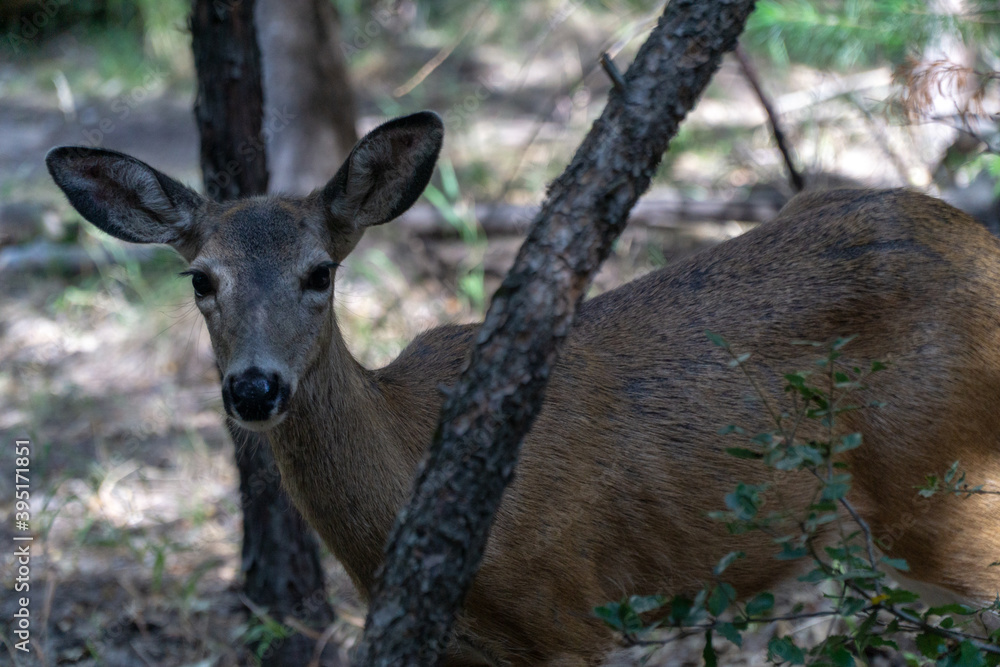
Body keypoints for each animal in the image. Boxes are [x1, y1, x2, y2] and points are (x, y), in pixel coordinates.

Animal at [47, 112, 1000, 664]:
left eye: (320, 271)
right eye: (201, 278)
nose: (253, 388)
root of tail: (982, 246)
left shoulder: (571, 613)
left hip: (950, 490)